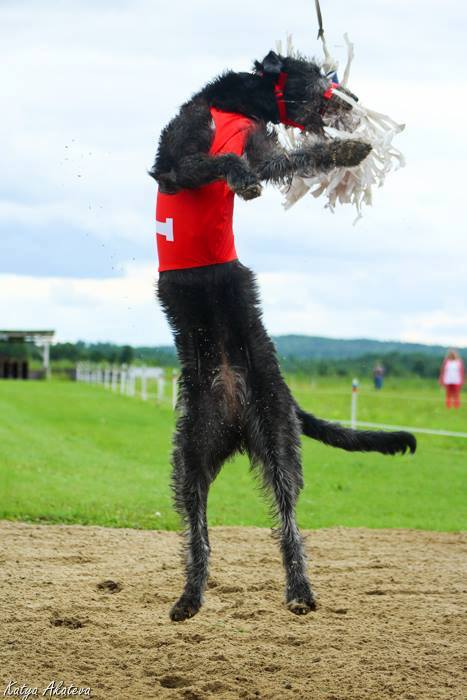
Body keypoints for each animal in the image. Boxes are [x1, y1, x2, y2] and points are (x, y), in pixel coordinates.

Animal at [151, 52, 416, 620]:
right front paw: (243, 179)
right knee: (198, 530)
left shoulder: (260, 149)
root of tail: (232, 411)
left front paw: (346, 149)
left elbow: (282, 161)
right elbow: (224, 163)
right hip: (191, 455)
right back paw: (190, 595)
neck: (230, 106)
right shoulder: (180, 163)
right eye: (320, 73)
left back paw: (298, 589)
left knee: (287, 520)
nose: (352, 99)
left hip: (277, 440)